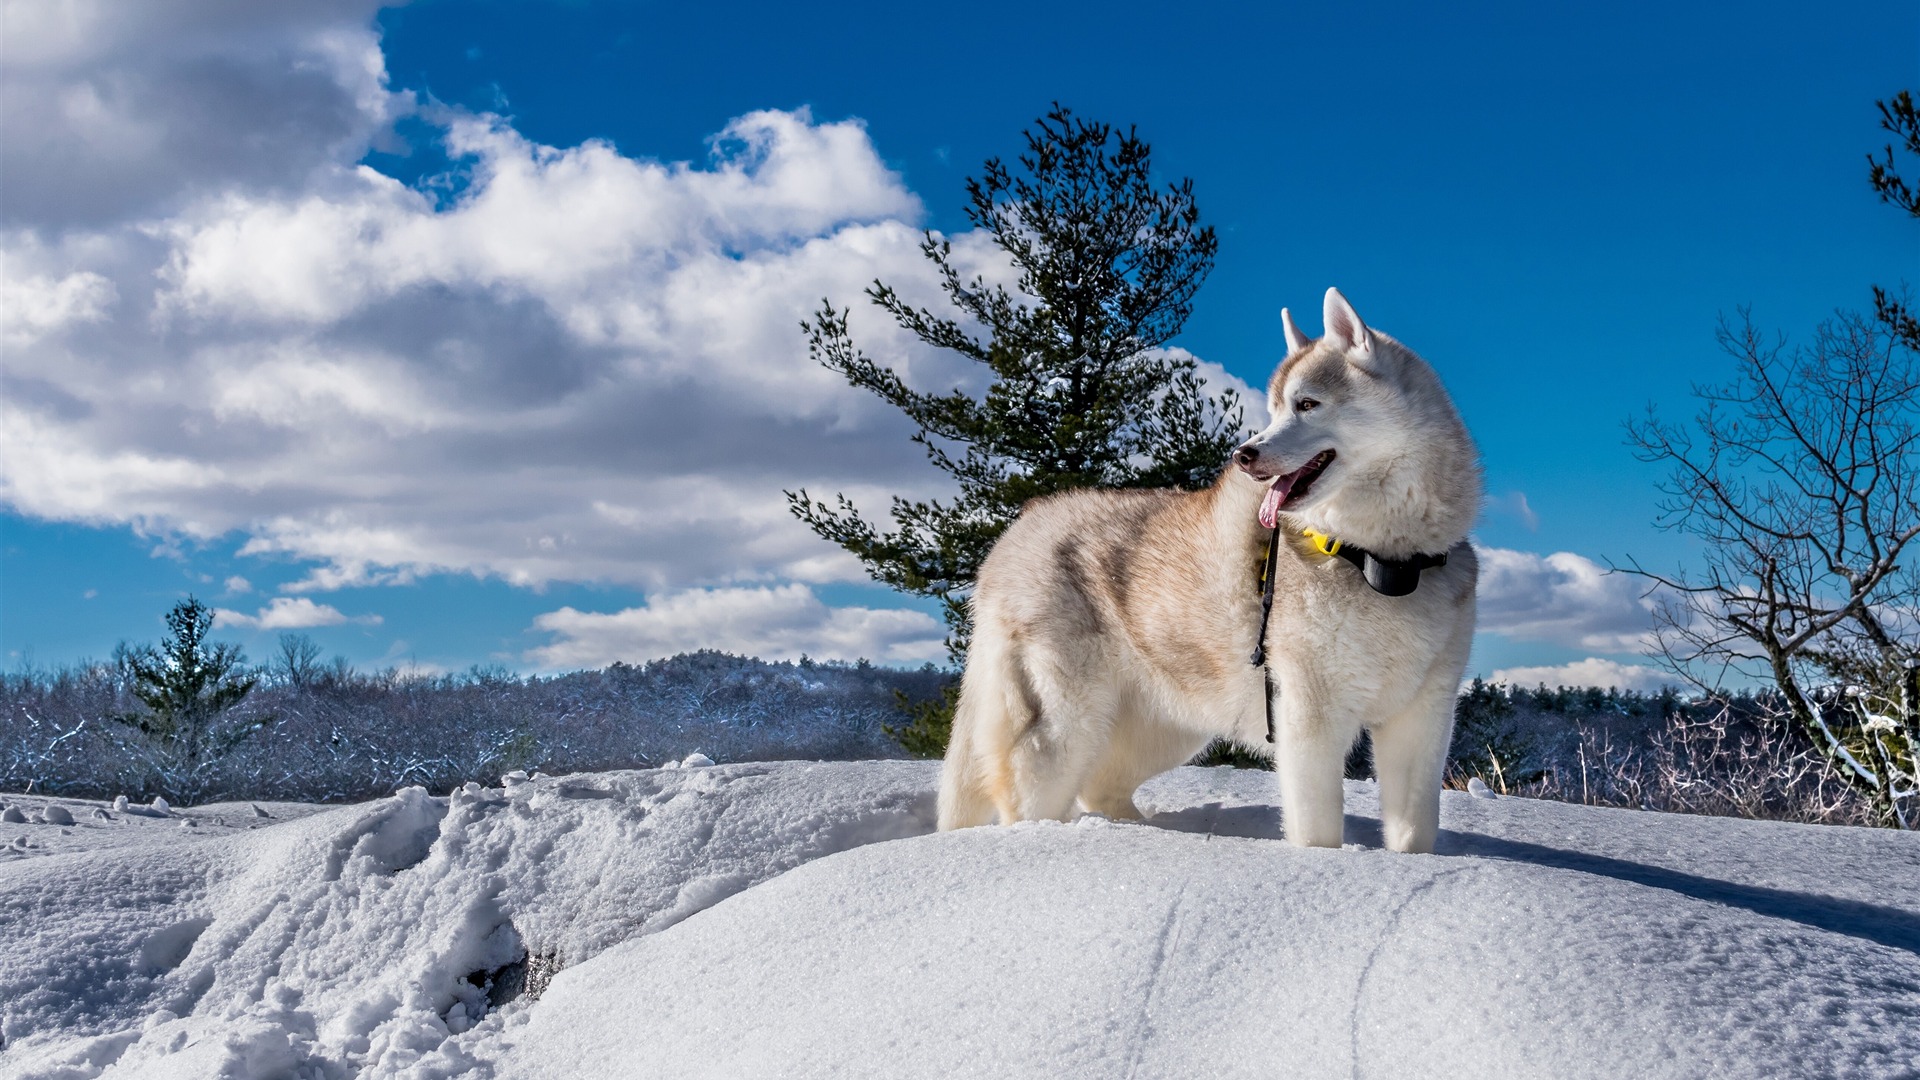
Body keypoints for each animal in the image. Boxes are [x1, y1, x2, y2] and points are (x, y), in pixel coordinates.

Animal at [936, 286, 1474, 849]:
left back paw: (1148, 835)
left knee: (1100, 785)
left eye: (1306, 404)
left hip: (1170, 728)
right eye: (1274, 409)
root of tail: (1016, 531)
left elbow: (1414, 834)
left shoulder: (1423, 720)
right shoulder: (1308, 717)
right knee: (1028, 796)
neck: (1376, 561)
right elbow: (1318, 833)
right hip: (1067, 726)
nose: (1244, 454)